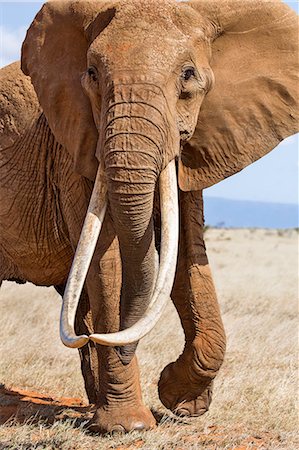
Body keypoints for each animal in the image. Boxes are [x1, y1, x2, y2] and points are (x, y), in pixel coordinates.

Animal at [0, 0, 298, 436]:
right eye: (92, 74)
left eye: (188, 74)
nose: (118, 345)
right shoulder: (72, 150)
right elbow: (105, 262)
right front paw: (129, 426)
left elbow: (185, 255)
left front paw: (178, 398)